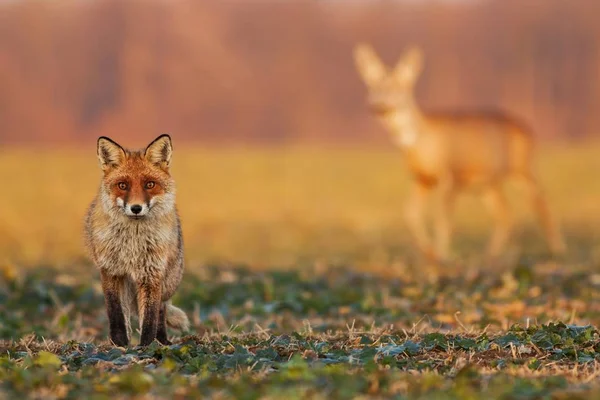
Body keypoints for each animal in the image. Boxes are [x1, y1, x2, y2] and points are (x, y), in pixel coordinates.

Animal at [83, 134, 189, 346]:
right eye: (123, 185)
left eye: (150, 184)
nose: (136, 208)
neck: (132, 243)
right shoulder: (111, 271)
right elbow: (116, 314)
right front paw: (119, 344)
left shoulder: (152, 273)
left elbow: (149, 318)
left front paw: (146, 347)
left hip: (167, 281)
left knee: (161, 310)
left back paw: (162, 341)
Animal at [354, 44, 564, 262]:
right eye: (372, 87)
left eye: (398, 88)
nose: (378, 106)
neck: (420, 141)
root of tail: (529, 129)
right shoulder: (421, 179)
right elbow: (410, 214)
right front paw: (428, 252)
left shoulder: (448, 175)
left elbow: (442, 219)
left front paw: (442, 255)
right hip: (488, 183)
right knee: (506, 215)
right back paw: (490, 255)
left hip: (522, 168)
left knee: (542, 205)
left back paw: (558, 251)